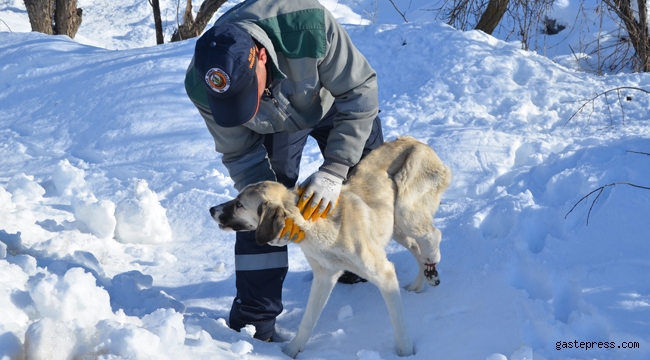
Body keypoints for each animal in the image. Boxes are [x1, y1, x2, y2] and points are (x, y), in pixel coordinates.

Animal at [210, 137, 448, 358]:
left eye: (239, 205)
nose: (212, 210)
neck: (316, 229)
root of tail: (417, 142)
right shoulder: (324, 276)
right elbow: (308, 321)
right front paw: (290, 352)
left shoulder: (384, 273)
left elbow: (398, 323)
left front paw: (407, 352)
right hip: (394, 226)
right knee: (416, 247)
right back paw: (420, 282)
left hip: (405, 211)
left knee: (432, 235)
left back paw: (432, 266)